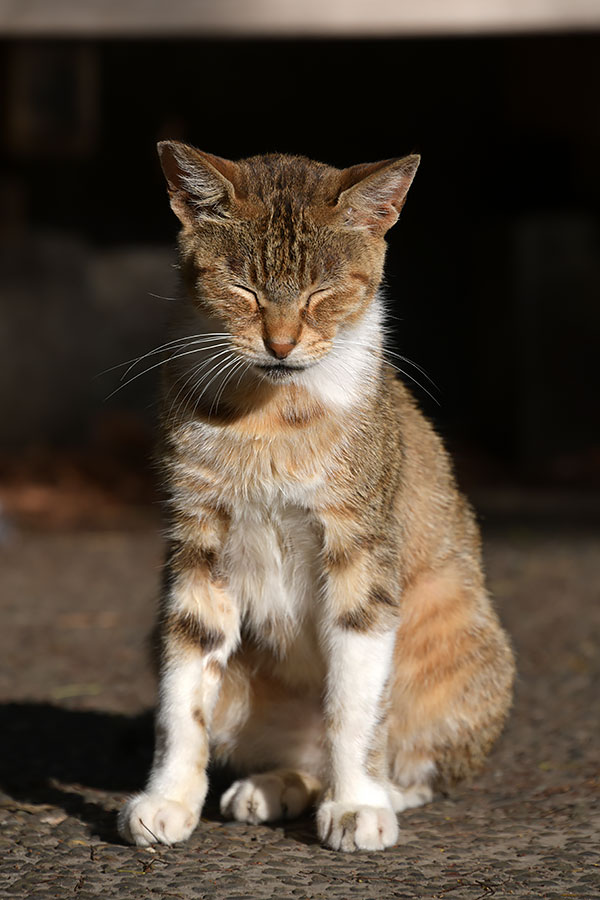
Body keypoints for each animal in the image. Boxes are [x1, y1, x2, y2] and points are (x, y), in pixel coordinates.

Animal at [118, 141, 516, 852]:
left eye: (321, 293)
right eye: (243, 288)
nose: (280, 344)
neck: (269, 414)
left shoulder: (360, 550)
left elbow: (355, 705)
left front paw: (358, 803)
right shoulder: (196, 548)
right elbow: (181, 697)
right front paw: (169, 797)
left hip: (458, 637)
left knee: (412, 760)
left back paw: (376, 791)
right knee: (296, 753)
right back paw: (279, 786)